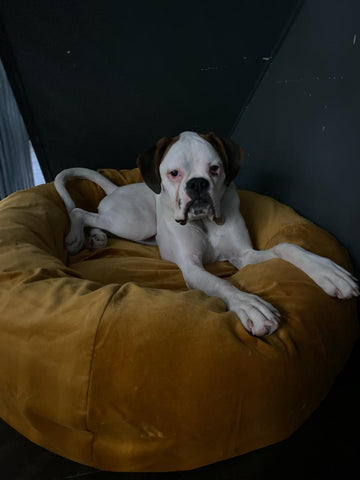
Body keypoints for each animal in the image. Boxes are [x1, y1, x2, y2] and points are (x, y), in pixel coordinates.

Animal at [54, 129, 358, 336]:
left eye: (215, 169)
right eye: (174, 173)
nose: (198, 184)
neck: (205, 222)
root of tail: (116, 188)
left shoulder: (245, 255)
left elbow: (287, 247)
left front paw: (327, 271)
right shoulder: (191, 267)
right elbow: (222, 284)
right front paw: (249, 304)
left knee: (96, 217)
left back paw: (97, 236)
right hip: (136, 223)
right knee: (81, 212)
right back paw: (77, 236)